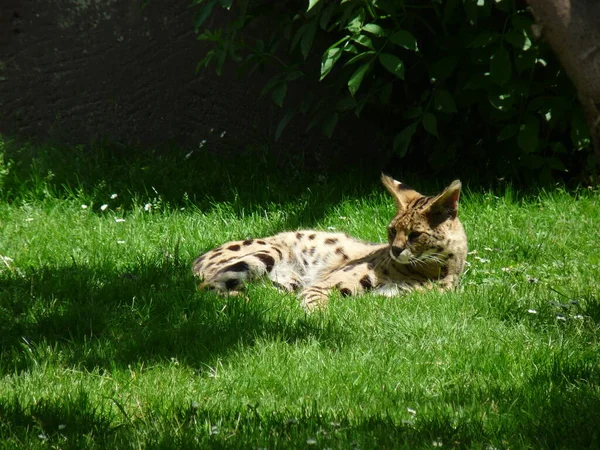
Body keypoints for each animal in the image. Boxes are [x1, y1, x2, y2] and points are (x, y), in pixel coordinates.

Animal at [193, 175, 468, 310]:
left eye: (414, 235)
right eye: (392, 231)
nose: (395, 249)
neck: (431, 271)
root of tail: (197, 258)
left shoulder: (401, 297)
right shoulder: (324, 286)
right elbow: (317, 303)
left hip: (285, 283)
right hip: (270, 252)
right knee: (206, 287)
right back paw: (245, 305)